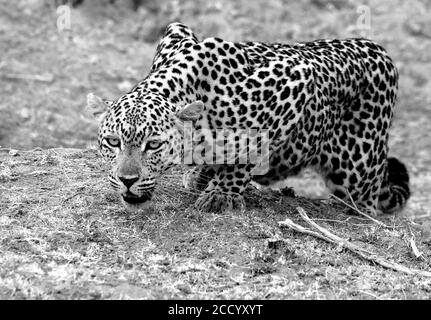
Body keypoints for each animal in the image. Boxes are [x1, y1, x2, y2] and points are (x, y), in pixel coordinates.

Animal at [85, 21, 412, 215]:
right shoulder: (176, 31)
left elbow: (246, 147)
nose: (127, 180)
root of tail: (378, 49)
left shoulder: (295, 78)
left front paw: (223, 192)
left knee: (366, 200)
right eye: (113, 142)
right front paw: (202, 173)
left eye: (153, 145)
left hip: (358, 171)